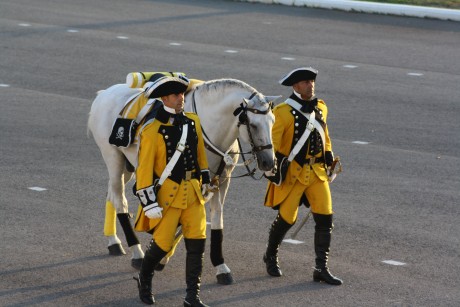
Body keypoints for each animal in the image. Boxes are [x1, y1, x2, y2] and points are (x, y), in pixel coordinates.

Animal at [87, 78, 278, 286]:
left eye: (272, 121)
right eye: (252, 124)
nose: (269, 162)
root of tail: (104, 93)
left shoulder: (220, 182)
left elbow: (215, 219)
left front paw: (220, 266)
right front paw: (160, 255)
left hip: (129, 167)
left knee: (111, 195)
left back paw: (113, 241)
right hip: (114, 158)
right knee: (120, 199)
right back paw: (136, 252)